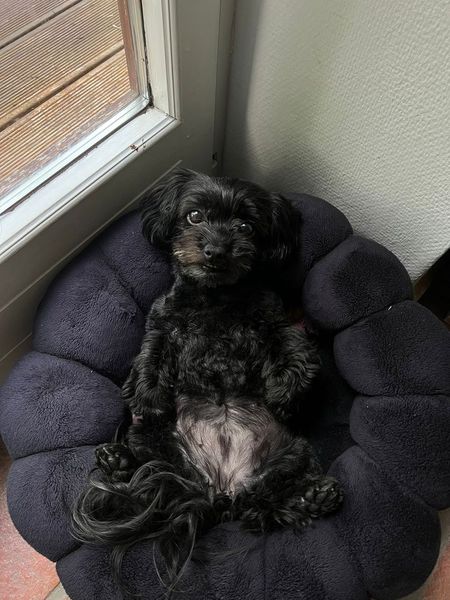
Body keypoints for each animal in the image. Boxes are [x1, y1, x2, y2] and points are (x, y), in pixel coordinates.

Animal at [72, 169, 343, 593]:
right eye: (194, 216)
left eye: (246, 226)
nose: (216, 250)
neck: (216, 298)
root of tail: (219, 492)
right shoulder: (162, 322)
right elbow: (149, 353)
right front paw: (148, 396)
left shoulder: (272, 320)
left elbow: (295, 348)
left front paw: (283, 392)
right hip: (152, 440)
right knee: (152, 473)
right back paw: (117, 461)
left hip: (292, 455)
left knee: (268, 506)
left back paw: (313, 498)